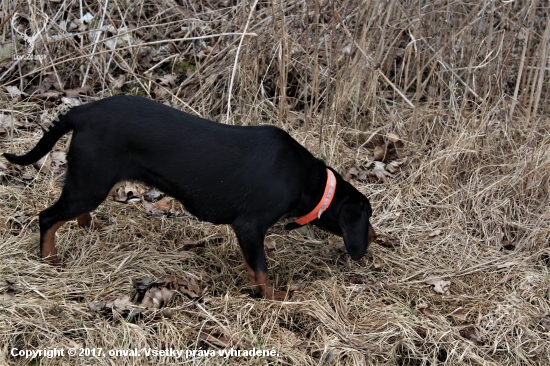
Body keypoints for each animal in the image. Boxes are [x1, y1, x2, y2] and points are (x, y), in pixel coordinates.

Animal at [4, 95, 378, 300]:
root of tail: (82, 111)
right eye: (369, 217)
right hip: (88, 185)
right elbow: (261, 271)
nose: (375, 237)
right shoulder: (250, 227)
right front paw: (274, 296)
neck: (306, 180)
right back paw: (50, 261)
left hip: (91, 183)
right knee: (48, 218)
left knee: (73, 215)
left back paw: (89, 228)